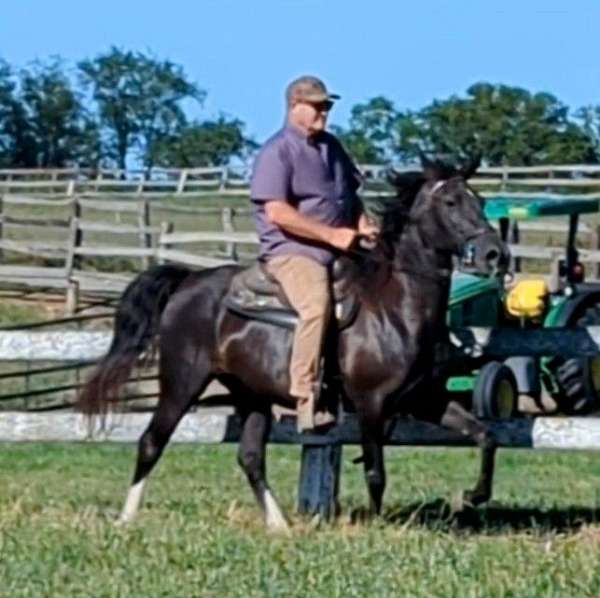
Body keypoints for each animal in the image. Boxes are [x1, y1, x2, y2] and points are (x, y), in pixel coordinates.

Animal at [79, 158, 508, 528]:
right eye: (450, 202)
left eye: (479, 200)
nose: (495, 254)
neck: (395, 309)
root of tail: (188, 280)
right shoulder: (370, 404)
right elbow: (376, 471)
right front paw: (375, 524)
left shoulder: (426, 398)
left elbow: (486, 437)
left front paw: (472, 496)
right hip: (183, 382)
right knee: (152, 441)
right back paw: (126, 518)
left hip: (250, 394)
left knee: (250, 457)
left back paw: (279, 524)